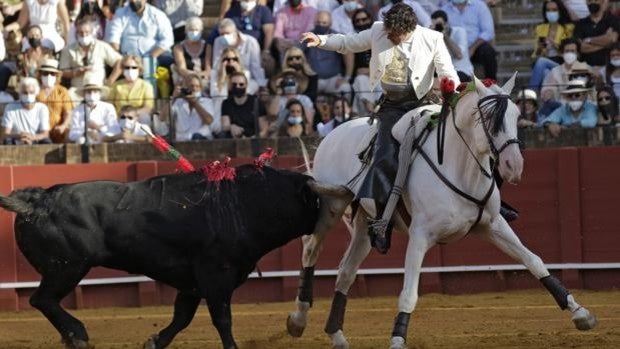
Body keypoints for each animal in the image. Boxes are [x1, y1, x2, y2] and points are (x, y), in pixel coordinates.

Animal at [0, 164, 320, 346]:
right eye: (315, 200)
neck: (245, 202)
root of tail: (36, 200)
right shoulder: (216, 275)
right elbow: (222, 318)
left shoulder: (192, 283)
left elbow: (182, 317)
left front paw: (154, 342)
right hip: (67, 268)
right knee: (42, 299)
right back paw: (78, 336)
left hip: (65, 269)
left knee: (45, 300)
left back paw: (73, 336)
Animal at [294, 77, 600, 348]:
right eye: (488, 119)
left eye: (516, 115)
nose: (514, 166)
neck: (461, 168)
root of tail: (333, 134)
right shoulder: (420, 235)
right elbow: (409, 293)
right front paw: (397, 339)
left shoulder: (493, 225)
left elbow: (534, 260)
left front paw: (581, 313)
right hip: (331, 207)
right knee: (310, 250)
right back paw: (298, 320)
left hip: (363, 222)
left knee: (346, 271)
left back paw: (336, 335)